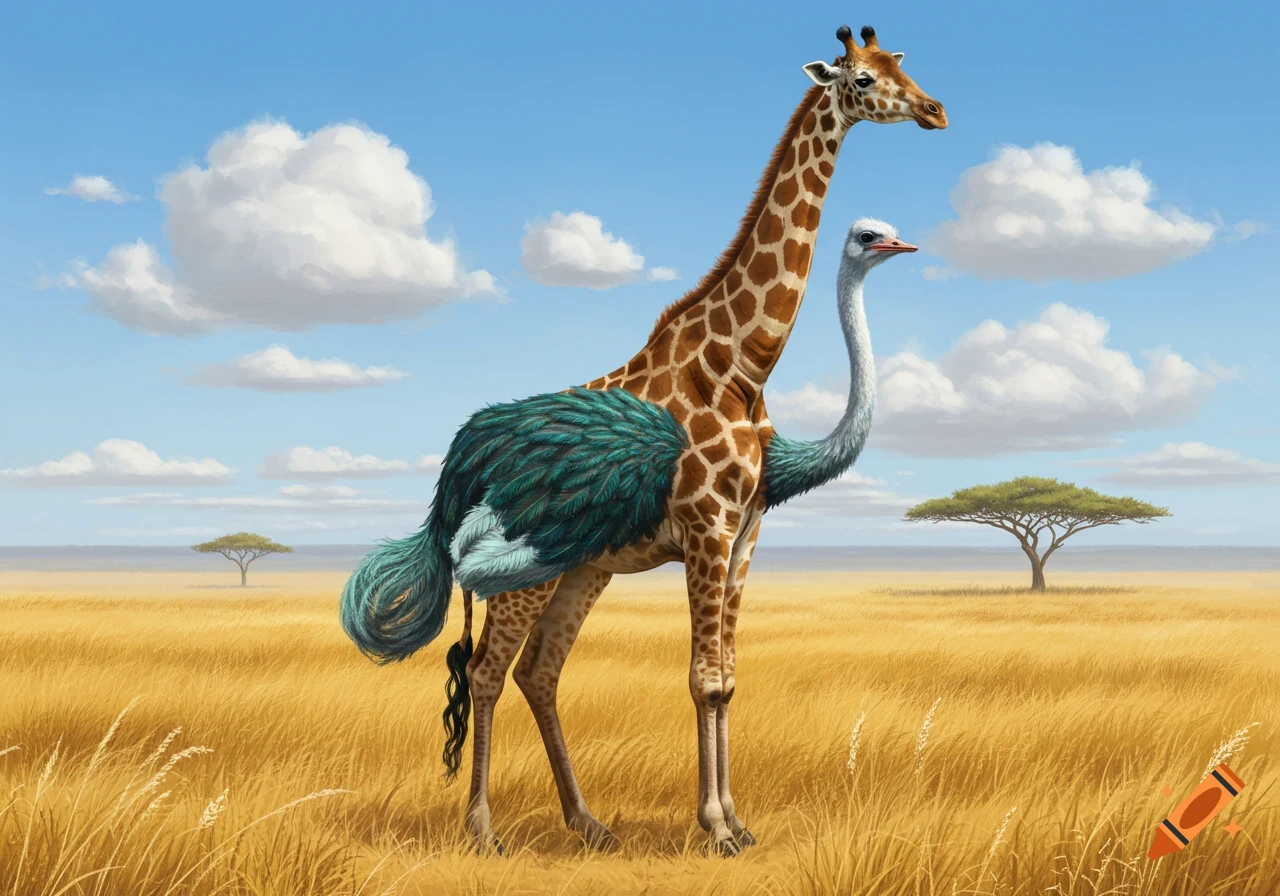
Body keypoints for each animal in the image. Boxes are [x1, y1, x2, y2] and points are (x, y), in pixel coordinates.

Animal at [456, 23, 948, 856]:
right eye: (858, 77)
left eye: (899, 65)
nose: (935, 110)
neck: (740, 363)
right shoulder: (706, 528)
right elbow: (701, 677)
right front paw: (715, 826)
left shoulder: (744, 532)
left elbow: (727, 677)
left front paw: (737, 822)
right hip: (519, 573)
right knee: (489, 672)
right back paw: (482, 830)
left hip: (582, 569)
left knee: (538, 673)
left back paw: (588, 822)